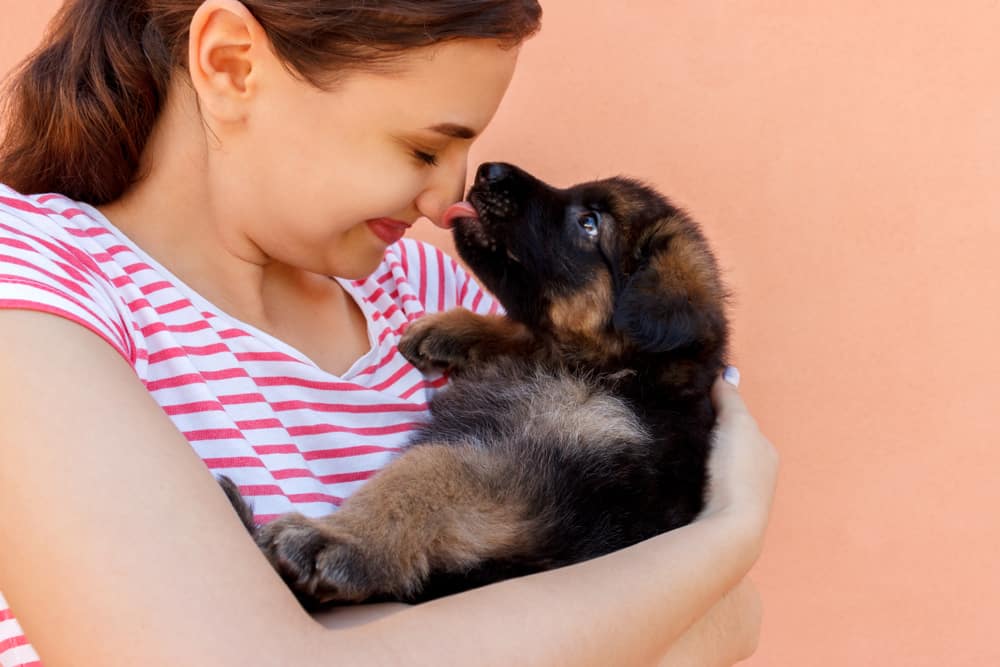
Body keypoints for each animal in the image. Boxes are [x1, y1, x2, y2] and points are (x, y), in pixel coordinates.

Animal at [223, 164, 732, 608]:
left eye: (589, 223)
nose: (489, 170)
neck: (619, 373)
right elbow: (521, 329)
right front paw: (454, 329)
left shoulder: (540, 472)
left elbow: (430, 469)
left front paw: (339, 537)